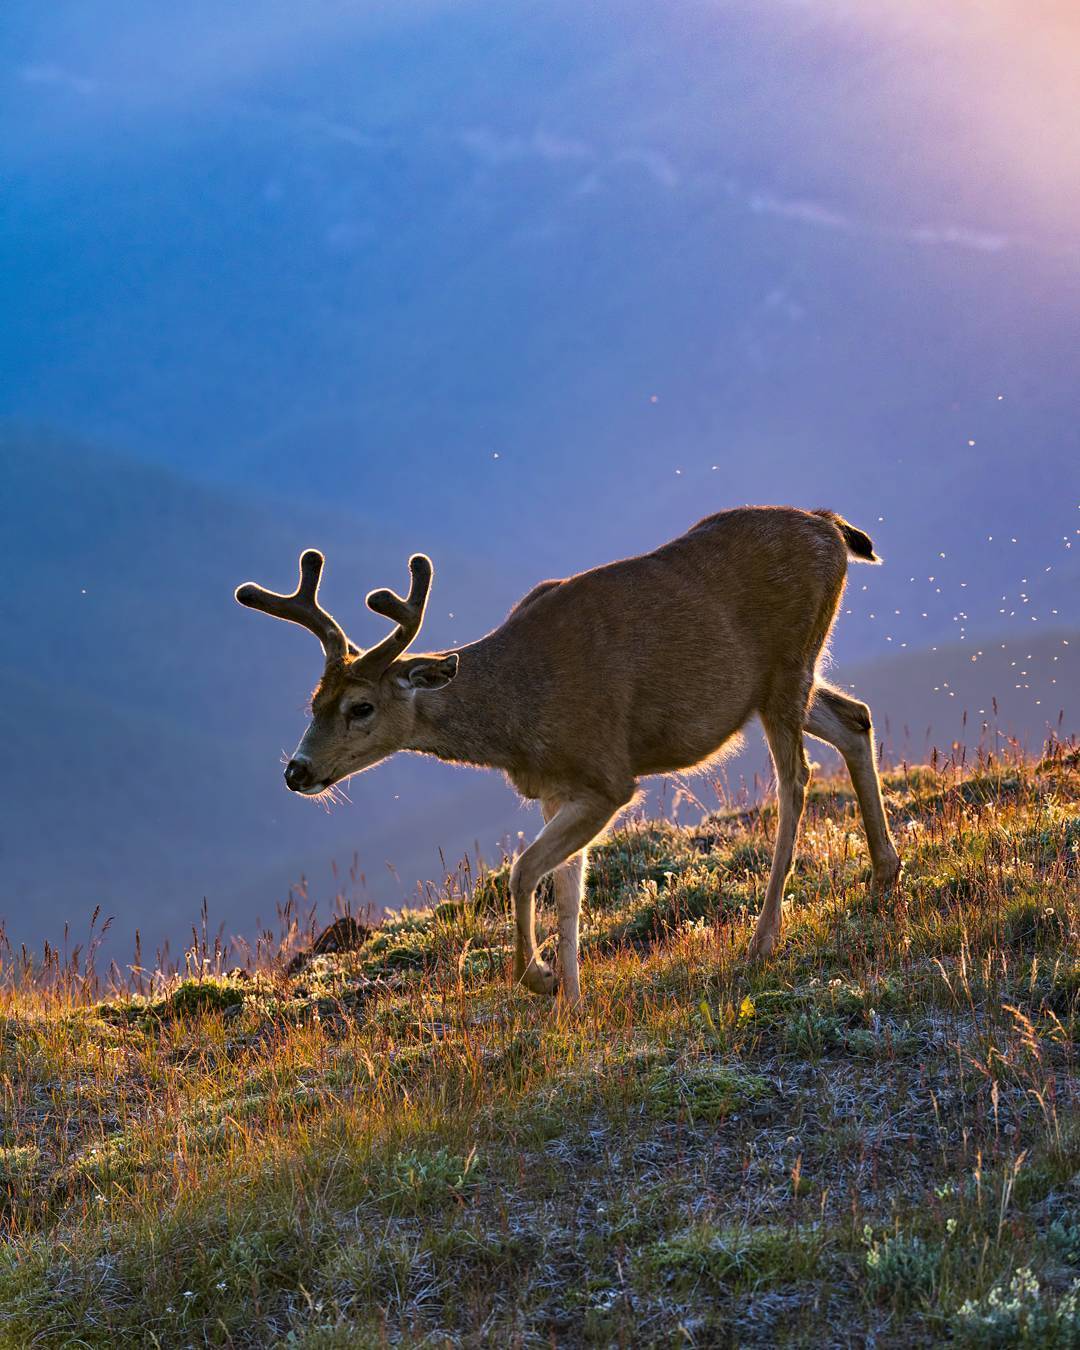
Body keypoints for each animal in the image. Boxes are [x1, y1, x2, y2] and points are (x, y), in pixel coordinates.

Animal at [236, 507, 901, 1004]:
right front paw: (572, 1002)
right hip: (775, 684)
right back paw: (884, 874)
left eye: (361, 707)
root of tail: (830, 526)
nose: (296, 771)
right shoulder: (557, 789)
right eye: (313, 701)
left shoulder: (607, 777)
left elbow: (523, 871)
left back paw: (765, 937)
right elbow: (567, 892)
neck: (521, 715)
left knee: (796, 779)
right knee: (855, 718)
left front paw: (541, 979)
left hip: (788, 665)